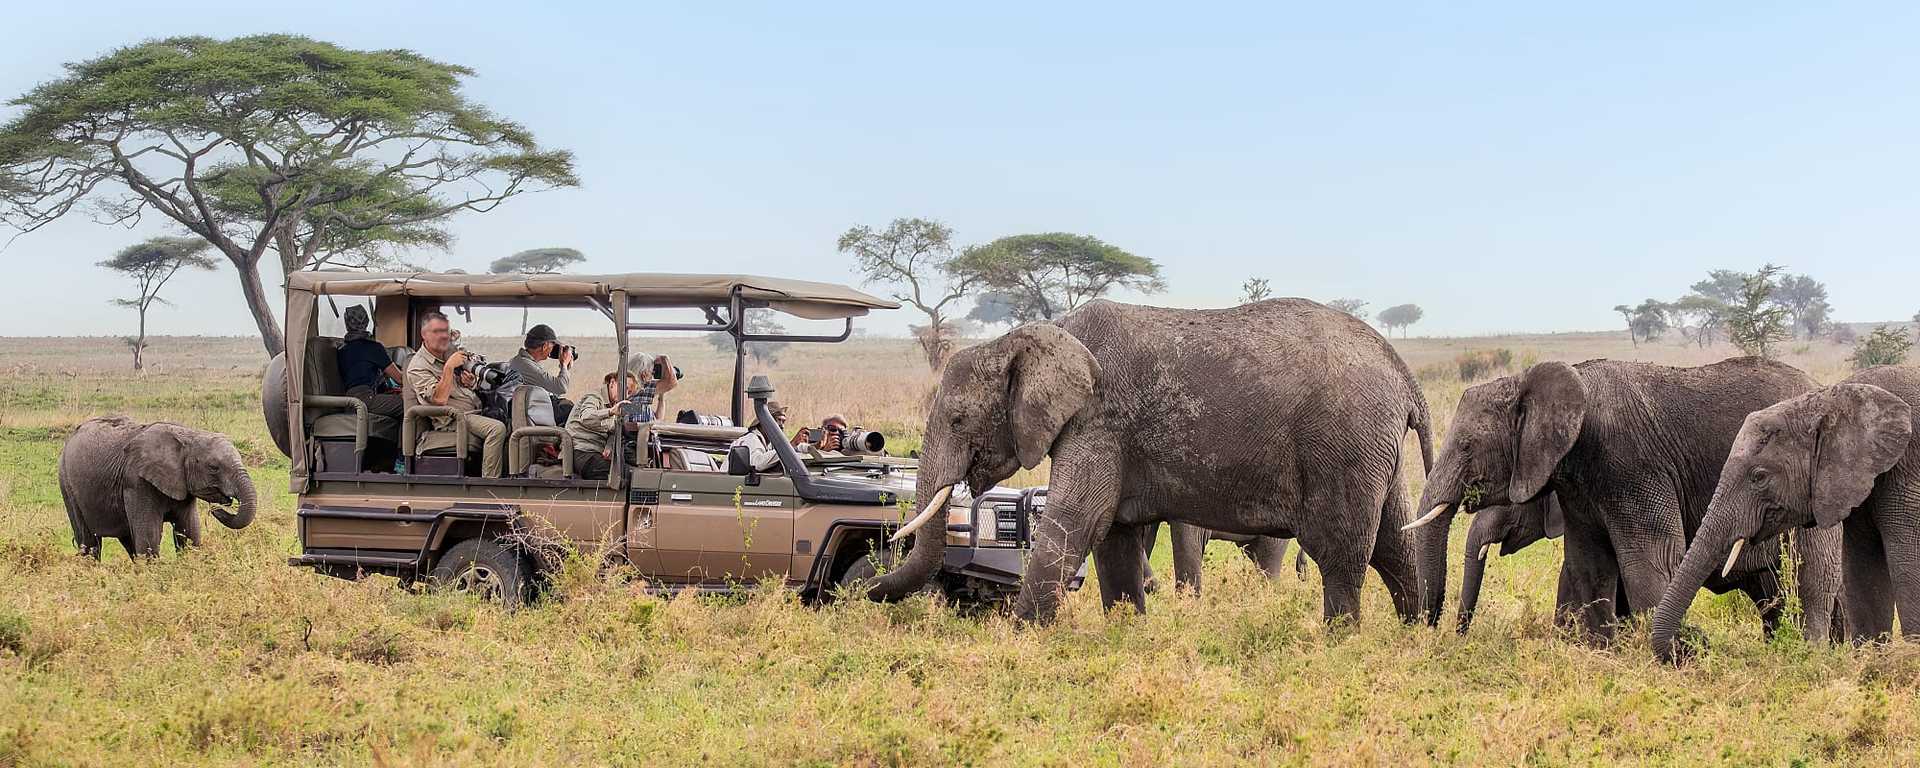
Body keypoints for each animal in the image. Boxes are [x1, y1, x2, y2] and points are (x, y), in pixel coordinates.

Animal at [59, 414, 259, 556]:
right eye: (214, 468)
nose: (216, 510)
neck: (188, 436)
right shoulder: (137, 482)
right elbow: (150, 537)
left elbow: (189, 532)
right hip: (67, 484)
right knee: (89, 542)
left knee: (128, 540)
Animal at [867, 297, 1428, 625]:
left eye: (959, 419)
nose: (866, 588)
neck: (1035, 337)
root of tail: (1402, 371)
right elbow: (1113, 536)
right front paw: (1125, 631)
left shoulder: (1098, 420)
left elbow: (1075, 521)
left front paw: (1020, 635)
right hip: (1377, 446)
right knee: (1394, 543)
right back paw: (1415, 633)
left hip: (1344, 442)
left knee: (1341, 550)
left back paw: (1339, 641)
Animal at [1413, 359, 1827, 641]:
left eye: (1467, 446)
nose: (1446, 632)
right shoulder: (1577, 489)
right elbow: (1589, 564)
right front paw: (1597, 650)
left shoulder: (1632, 465)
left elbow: (1649, 561)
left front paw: (1677, 654)